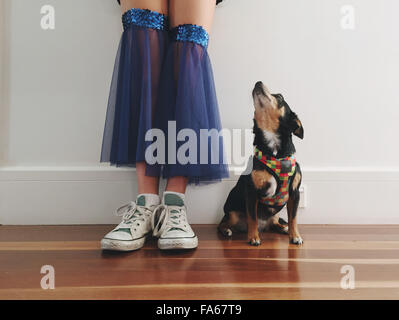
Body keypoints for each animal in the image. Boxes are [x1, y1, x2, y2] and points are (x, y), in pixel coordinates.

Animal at [217, 81, 304, 246]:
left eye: (280, 96)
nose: (258, 82)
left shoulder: (295, 193)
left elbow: (294, 218)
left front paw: (295, 235)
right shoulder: (252, 192)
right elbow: (252, 218)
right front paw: (253, 237)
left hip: (275, 215)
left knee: (276, 222)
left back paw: (283, 228)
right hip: (233, 214)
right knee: (222, 224)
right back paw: (227, 230)